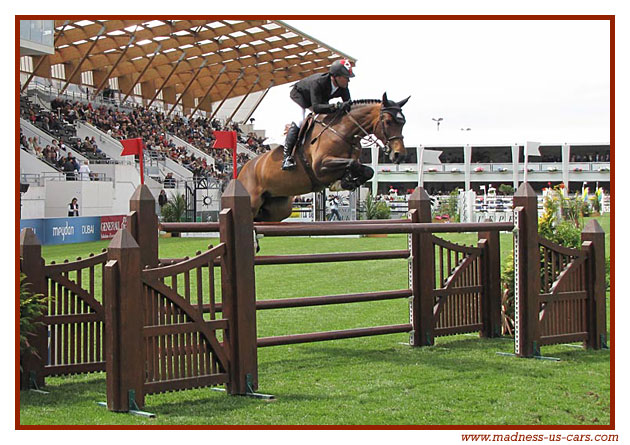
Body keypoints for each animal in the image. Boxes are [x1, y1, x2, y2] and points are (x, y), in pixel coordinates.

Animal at [237, 92, 410, 222]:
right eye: (388, 122)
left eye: (403, 123)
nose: (399, 155)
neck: (342, 132)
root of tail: (243, 169)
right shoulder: (320, 167)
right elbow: (352, 163)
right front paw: (344, 182)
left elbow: (367, 170)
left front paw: (347, 181)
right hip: (253, 200)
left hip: (279, 207)